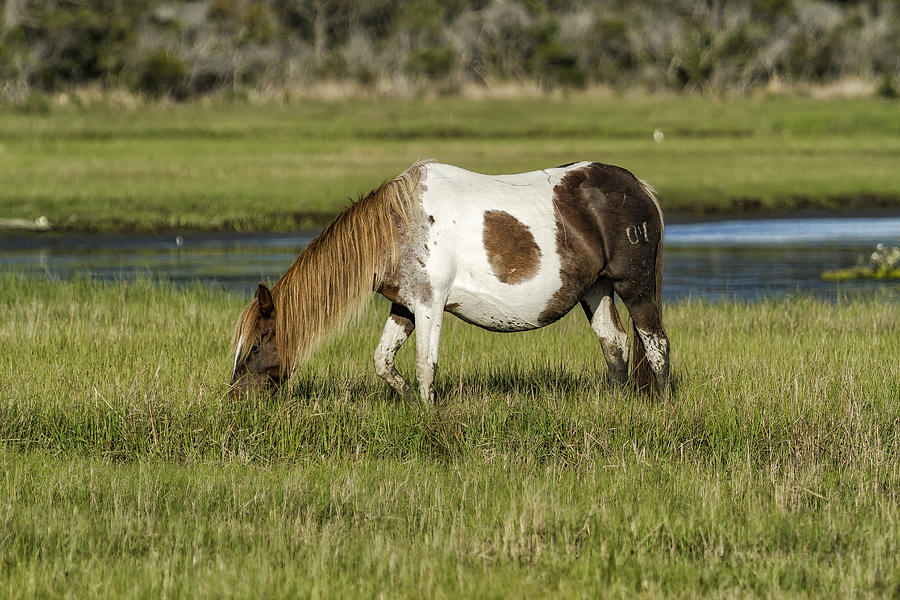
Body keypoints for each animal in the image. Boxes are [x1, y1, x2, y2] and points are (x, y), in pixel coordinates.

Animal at [230, 159, 668, 404]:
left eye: (255, 346)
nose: (235, 400)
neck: (400, 226)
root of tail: (638, 187)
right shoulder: (405, 305)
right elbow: (383, 362)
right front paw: (411, 403)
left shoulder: (429, 305)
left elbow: (426, 365)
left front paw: (428, 415)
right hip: (596, 289)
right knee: (614, 343)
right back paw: (616, 406)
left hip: (635, 286)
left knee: (656, 345)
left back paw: (661, 408)